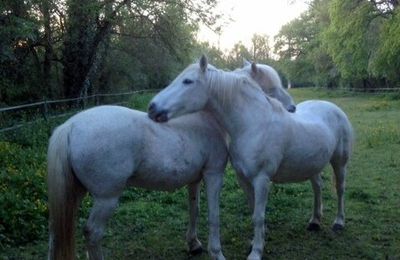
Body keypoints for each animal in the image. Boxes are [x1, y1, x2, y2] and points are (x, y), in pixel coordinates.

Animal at [46, 106, 228, 260]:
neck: (207, 121)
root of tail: (70, 126)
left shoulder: (194, 181)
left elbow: (194, 210)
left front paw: (193, 244)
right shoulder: (213, 174)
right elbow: (214, 215)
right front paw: (216, 253)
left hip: (74, 193)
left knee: (55, 231)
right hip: (106, 199)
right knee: (92, 233)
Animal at [149, 56, 354, 260]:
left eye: (187, 81)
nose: (152, 108)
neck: (252, 124)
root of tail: (332, 107)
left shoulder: (262, 179)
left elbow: (258, 216)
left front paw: (256, 252)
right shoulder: (244, 179)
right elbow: (253, 209)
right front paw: (256, 242)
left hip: (339, 162)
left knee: (340, 189)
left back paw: (338, 222)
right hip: (313, 165)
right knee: (317, 187)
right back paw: (314, 221)